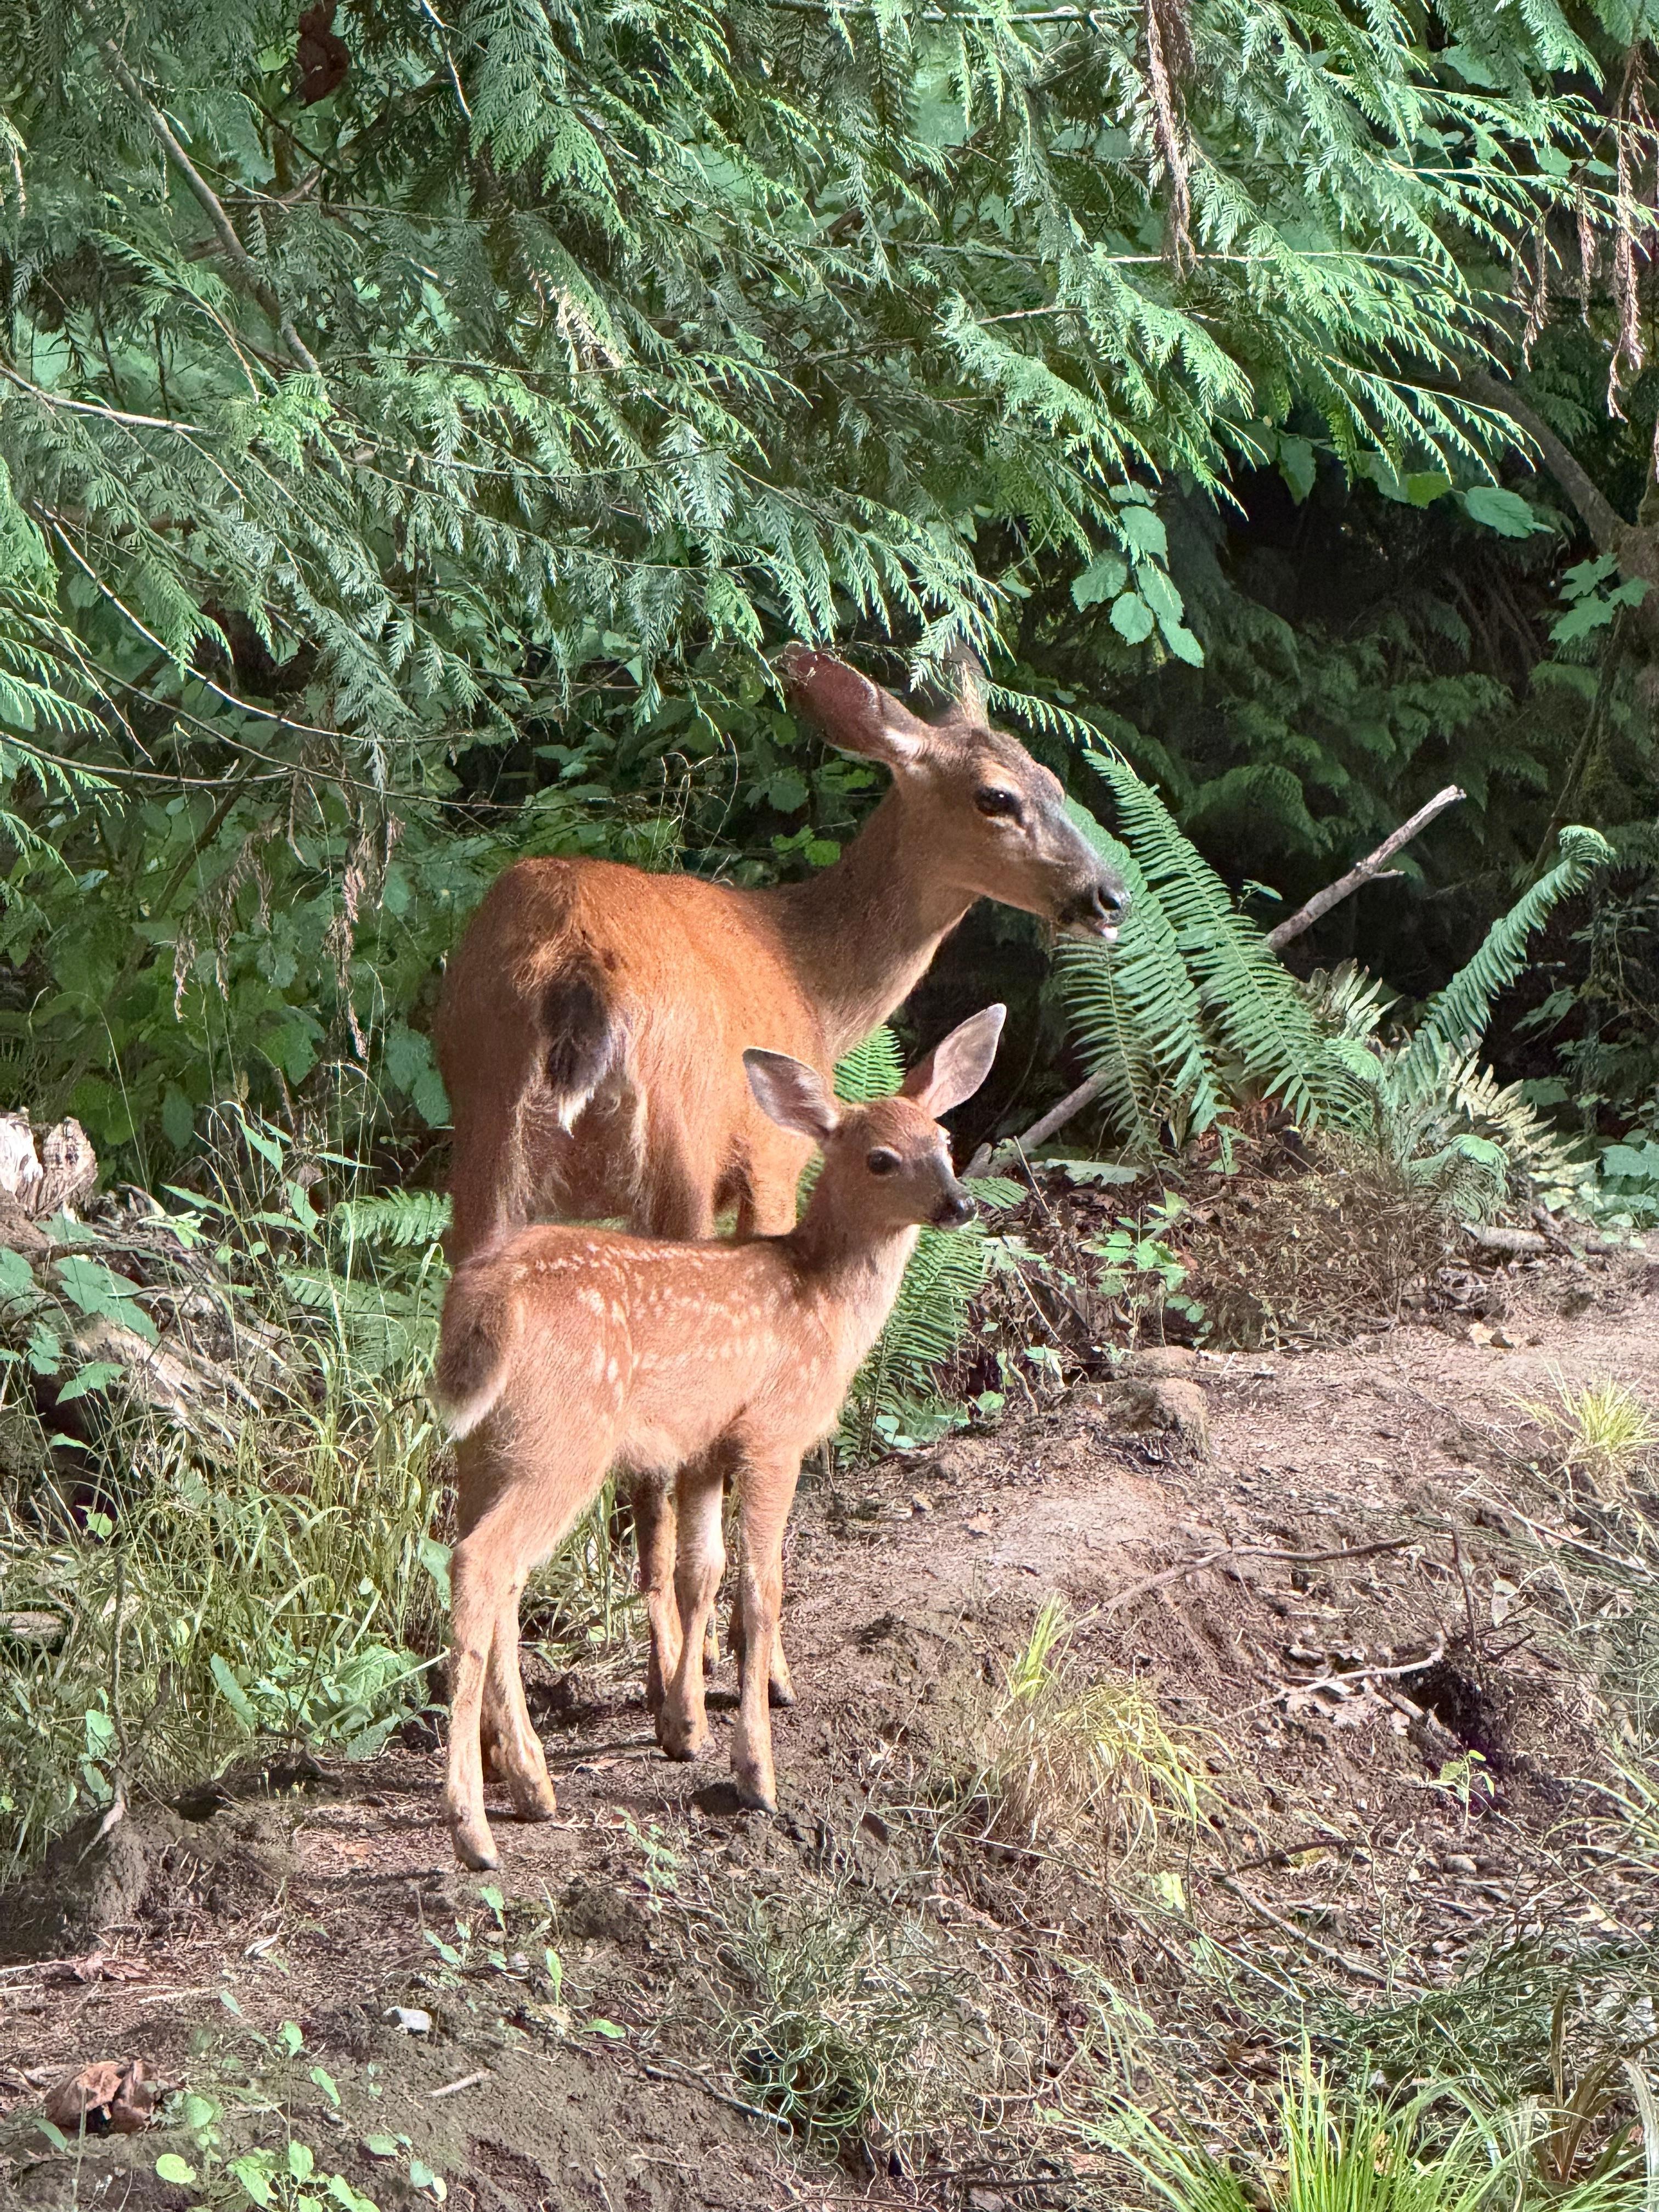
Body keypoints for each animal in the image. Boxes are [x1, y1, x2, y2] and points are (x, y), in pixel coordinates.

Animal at [433, 1005, 1007, 1871]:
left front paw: (682, 1726)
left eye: (944, 1139)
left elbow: (697, 1571)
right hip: (563, 1443)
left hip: (486, 1449)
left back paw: (531, 1786)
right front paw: (757, 1772)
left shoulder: (704, 1447)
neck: (822, 1301)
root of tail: (487, 1305)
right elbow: (761, 1590)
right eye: (881, 1158)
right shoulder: (774, 1435)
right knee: (482, 1564)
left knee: (495, 1573)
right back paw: (473, 1827)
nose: (958, 1204)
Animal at [434, 644, 1127, 1731]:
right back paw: (675, 1701)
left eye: (1055, 779)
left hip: (484, 1125)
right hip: (671, 1139)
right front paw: (754, 1671)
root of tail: (572, 970)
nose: (1106, 897)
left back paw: (515, 1739)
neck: (812, 976)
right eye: (996, 796)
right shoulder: (765, 1162)